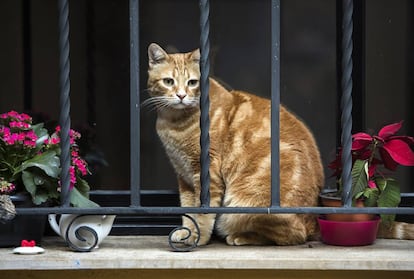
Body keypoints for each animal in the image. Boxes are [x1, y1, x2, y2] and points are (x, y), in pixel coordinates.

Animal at [146, 42, 414, 246]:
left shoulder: (206, 173)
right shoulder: (184, 177)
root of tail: (314, 218)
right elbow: (187, 210)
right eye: (169, 81)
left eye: (192, 83)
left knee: (293, 235)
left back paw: (241, 237)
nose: (181, 95)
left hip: (242, 204)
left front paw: (196, 239)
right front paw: (186, 231)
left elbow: (202, 215)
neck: (174, 122)